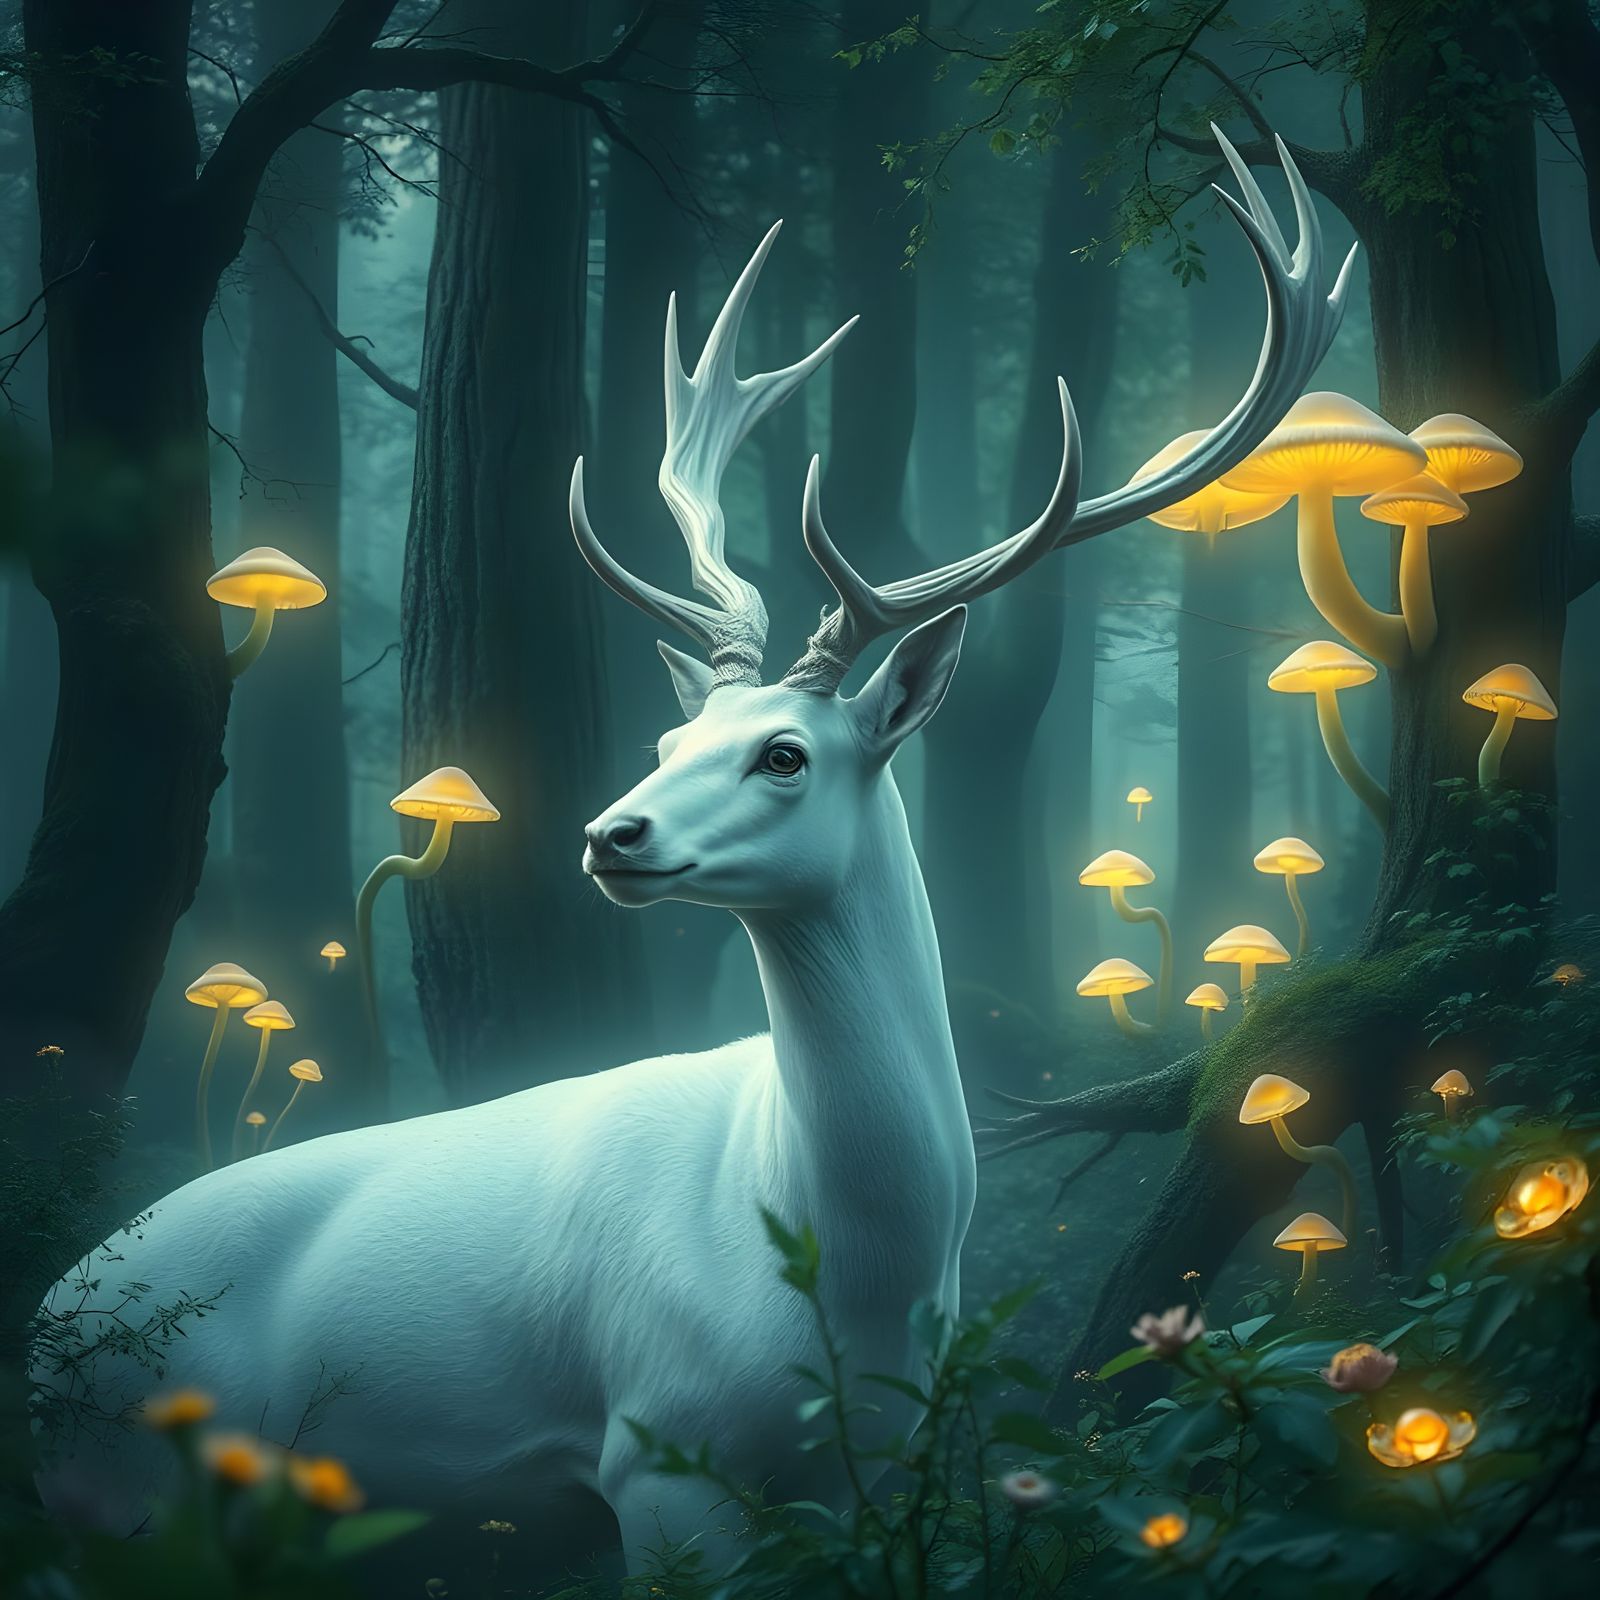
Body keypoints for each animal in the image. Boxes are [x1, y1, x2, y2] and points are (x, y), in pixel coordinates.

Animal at [34, 131, 1350, 1577]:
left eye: (783, 752)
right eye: (670, 735)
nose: (612, 833)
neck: (850, 1260)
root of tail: (47, 1323)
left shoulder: (869, 1469)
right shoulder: (658, 1451)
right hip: (126, 1491)